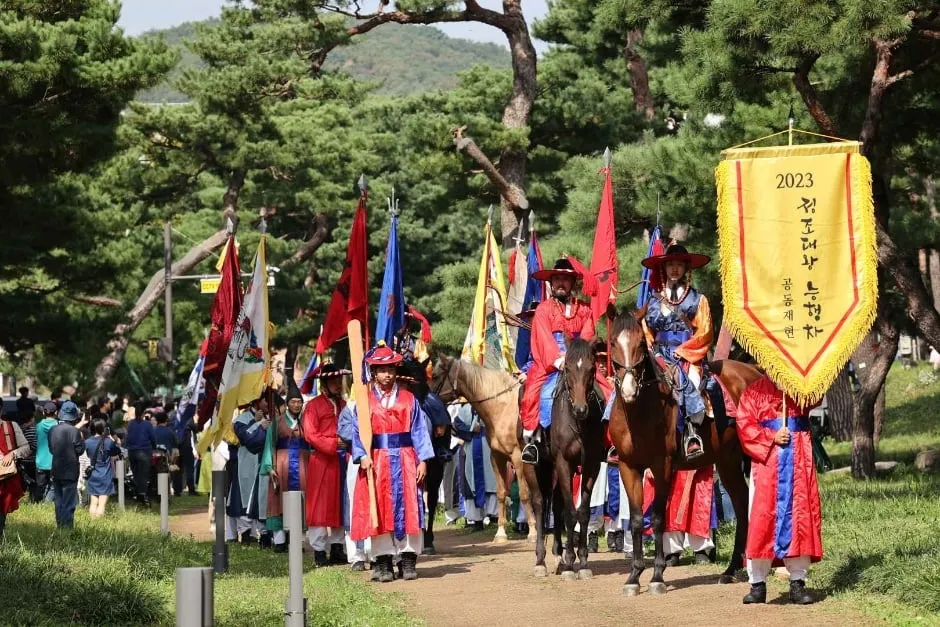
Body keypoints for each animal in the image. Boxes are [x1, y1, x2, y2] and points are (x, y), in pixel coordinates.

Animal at [432, 358, 536, 544]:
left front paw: (532, 531)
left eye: (436, 375)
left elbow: (525, 493)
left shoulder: (518, 458)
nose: (425, 397)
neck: (502, 408)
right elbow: (501, 493)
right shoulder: (496, 457)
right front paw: (500, 533)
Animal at [516, 340, 604, 580]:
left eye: (591, 369)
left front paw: (582, 562)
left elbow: (582, 512)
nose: (581, 409)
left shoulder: (591, 464)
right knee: (539, 503)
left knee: (555, 505)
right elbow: (570, 514)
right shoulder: (564, 462)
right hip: (533, 466)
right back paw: (541, 560)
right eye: (568, 369)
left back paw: (558, 555)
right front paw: (571, 563)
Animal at [608, 312, 764, 596]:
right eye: (613, 342)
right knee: (740, 501)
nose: (628, 389)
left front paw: (657, 575)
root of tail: (753, 371)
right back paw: (731, 570)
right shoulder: (627, 466)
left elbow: (658, 517)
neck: (639, 411)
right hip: (726, 460)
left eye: (639, 343)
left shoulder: (662, 466)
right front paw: (634, 576)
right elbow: (636, 519)